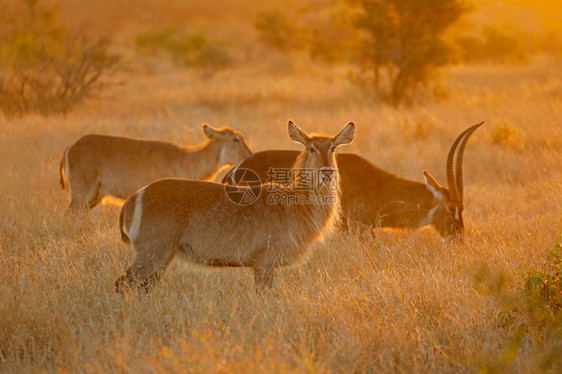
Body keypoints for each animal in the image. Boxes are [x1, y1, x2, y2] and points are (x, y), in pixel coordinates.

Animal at [59, 122, 249, 210]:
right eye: (235, 139)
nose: (250, 154)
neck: (185, 160)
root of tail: (70, 146)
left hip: (95, 197)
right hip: (82, 193)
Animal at [115, 120, 354, 292]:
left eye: (333, 147)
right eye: (311, 148)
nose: (327, 172)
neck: (293, 204)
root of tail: (134, 197)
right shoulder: (264, 261)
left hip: (162, 255)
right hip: (152, 250)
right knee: (122, 283)